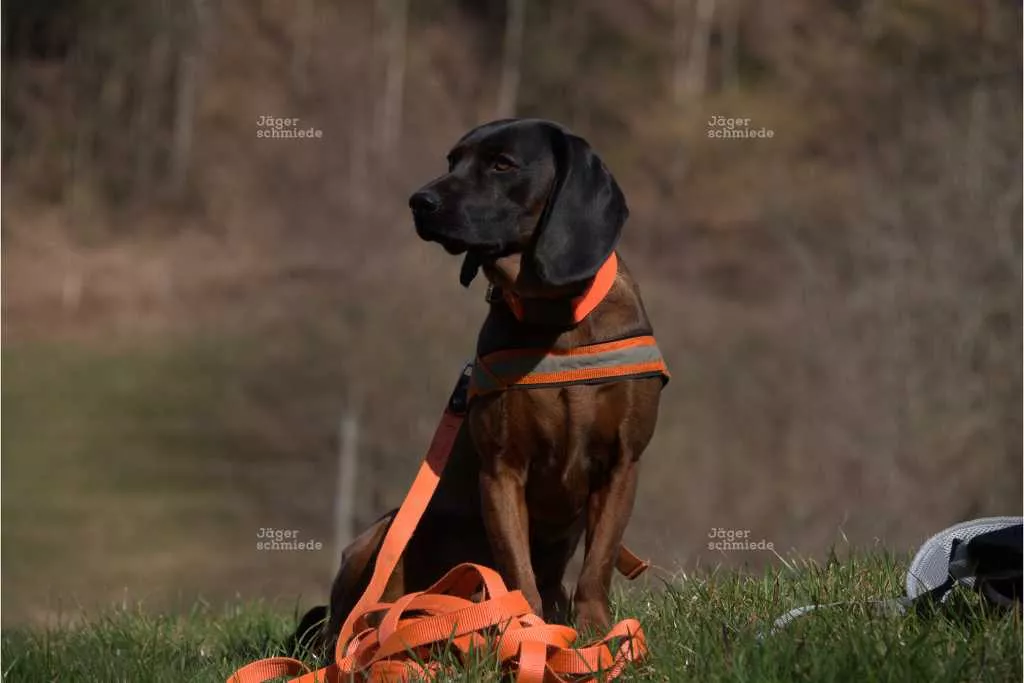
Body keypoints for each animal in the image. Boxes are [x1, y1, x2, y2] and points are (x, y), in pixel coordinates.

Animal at [292, 118, 667, 655]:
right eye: (452, 161)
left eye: (502, 164)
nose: (418, 201)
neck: (554, 319)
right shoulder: (502, 468)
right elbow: (516, 570)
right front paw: (527, 629)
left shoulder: (621, 464)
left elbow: (597, 563)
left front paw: (596, 632)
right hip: (382, 535)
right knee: (347, 622)